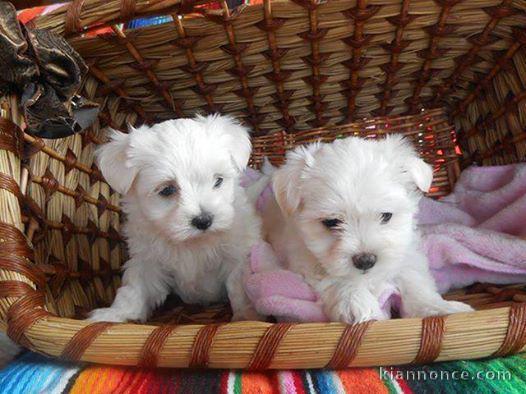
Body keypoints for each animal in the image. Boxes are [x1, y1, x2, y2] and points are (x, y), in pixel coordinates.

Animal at [92, 114, 264, 324]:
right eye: (167, 190)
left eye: (218, 180)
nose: (203, 220)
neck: (191, 243)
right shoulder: (147, 259)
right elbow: (134, 288)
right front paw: (114, 314)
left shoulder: (237, 253)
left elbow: (238, 285)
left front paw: (246, 317)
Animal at [262, 135, 474, 324]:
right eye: (331, 222)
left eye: (386, 216)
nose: (365, 260)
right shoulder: (307, 260)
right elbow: (337, 278)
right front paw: (357, 303)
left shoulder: (406, 254)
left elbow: (414, 281)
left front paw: (438, 308)